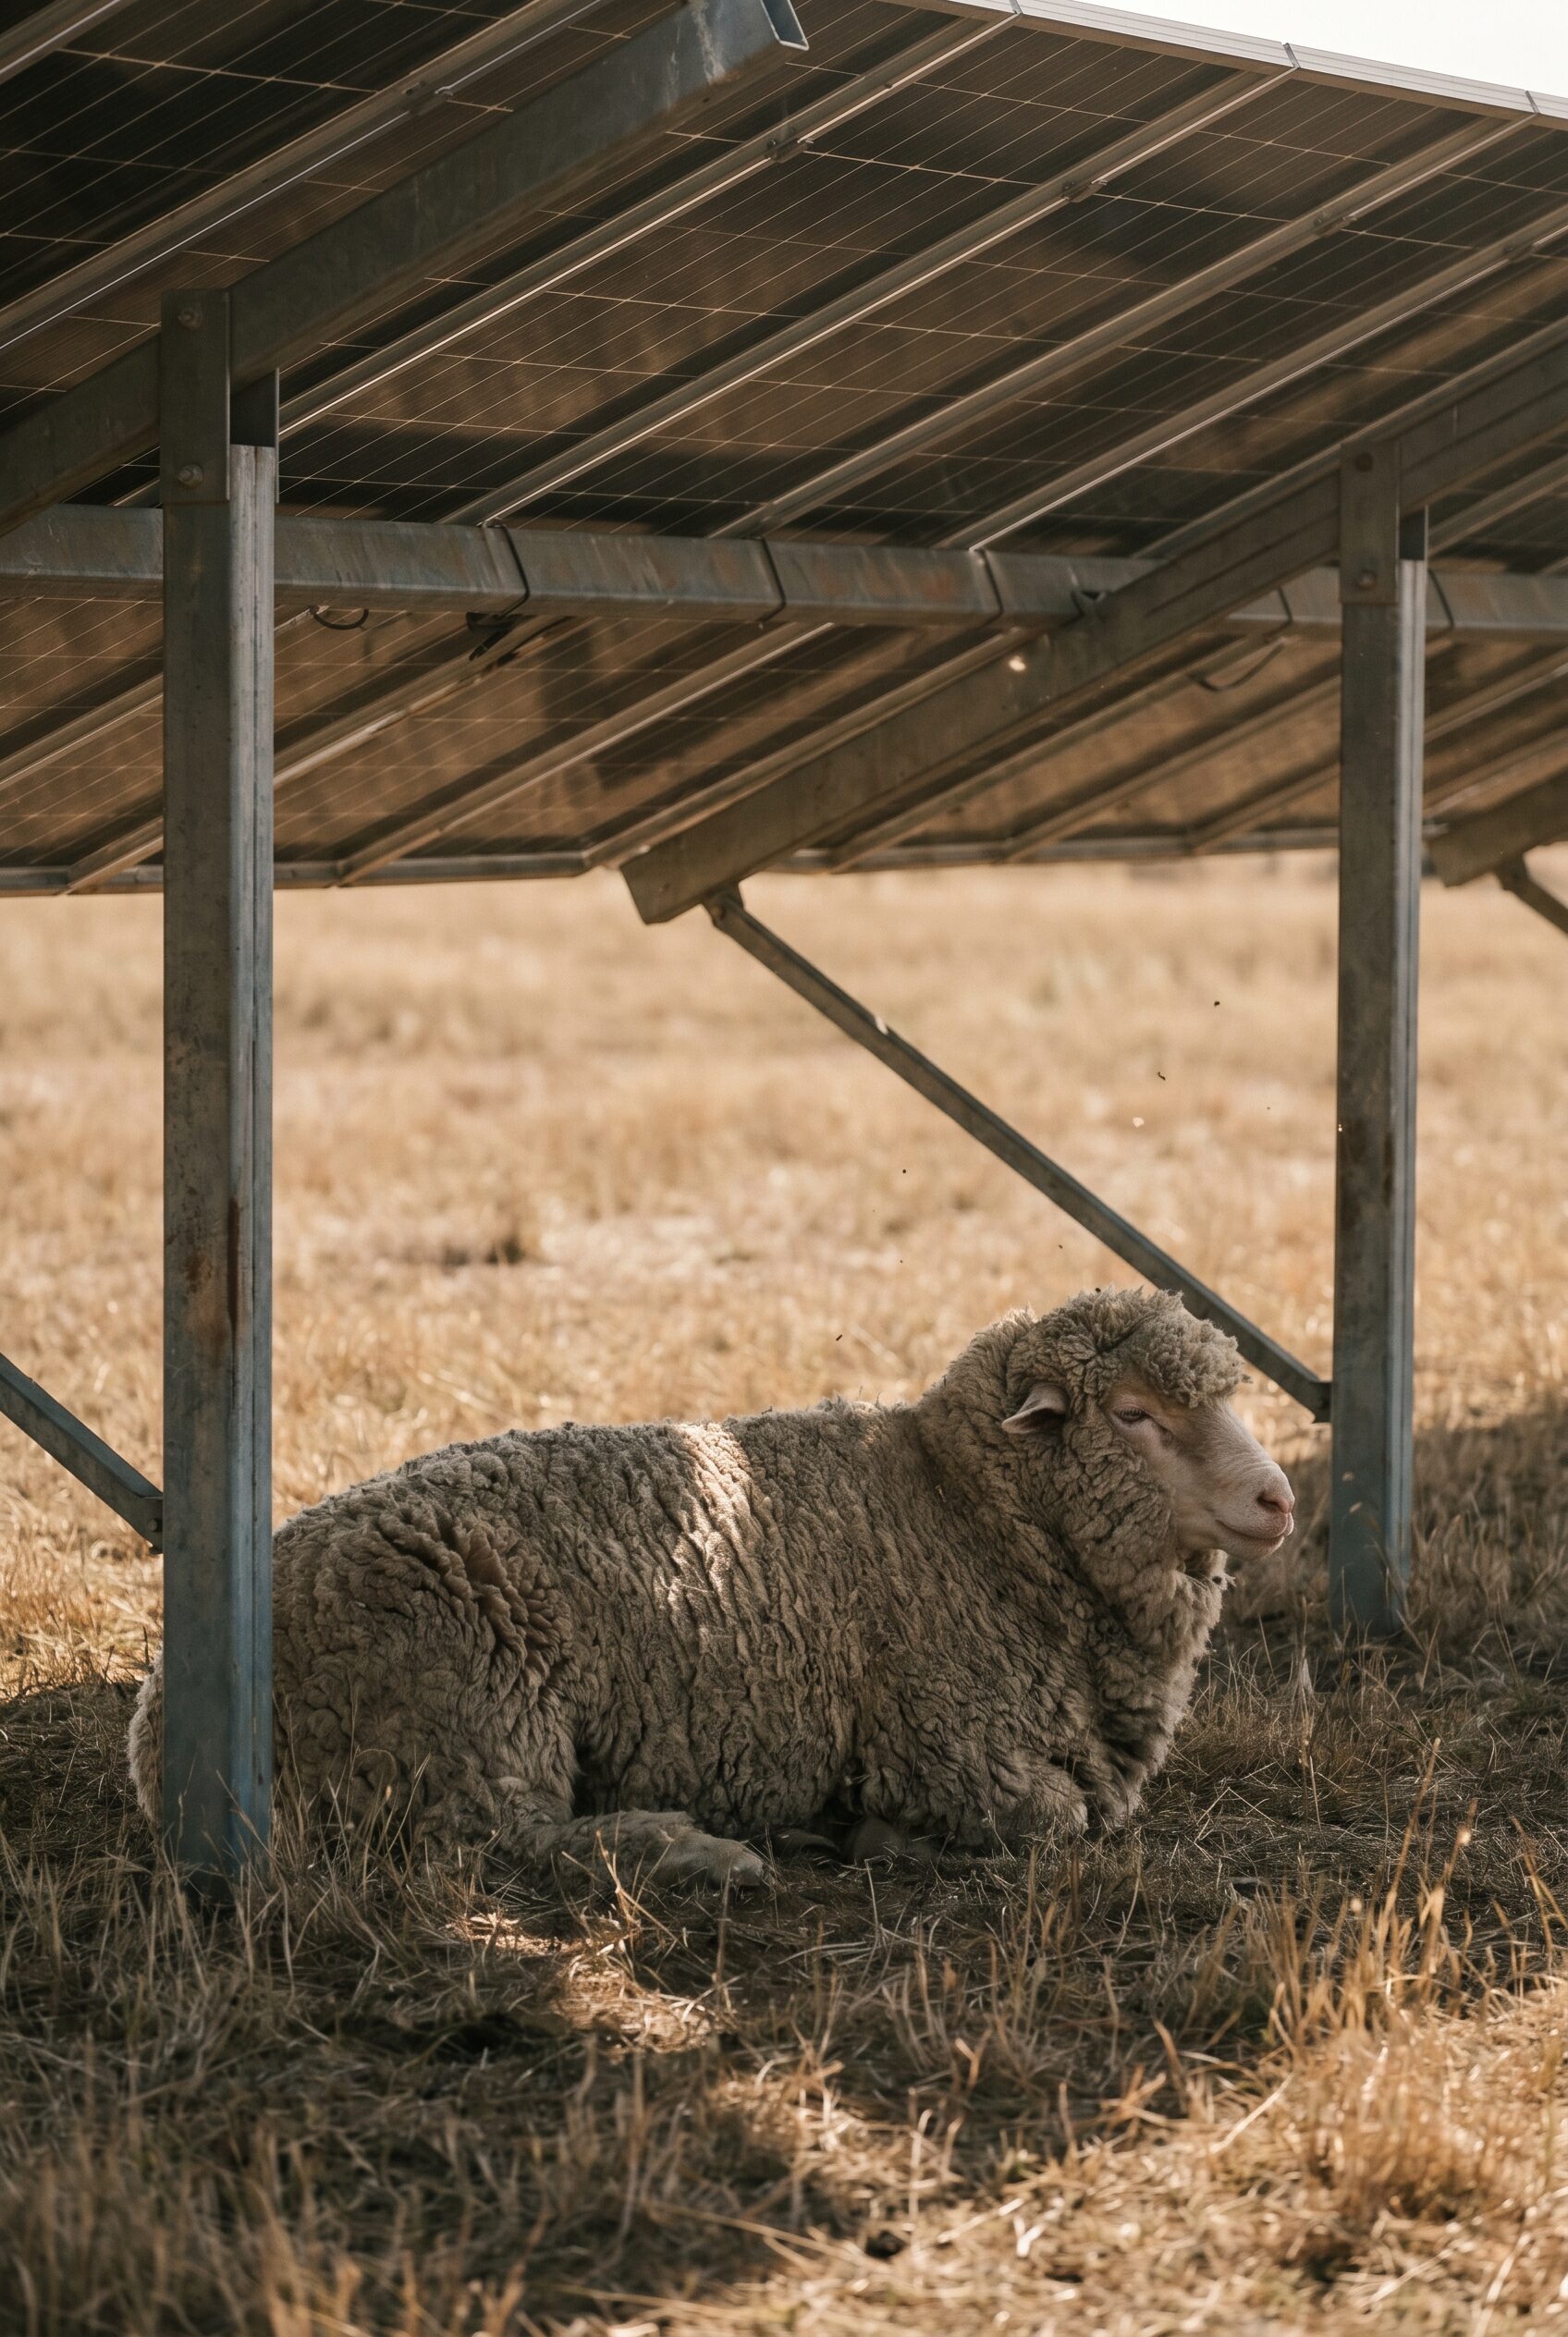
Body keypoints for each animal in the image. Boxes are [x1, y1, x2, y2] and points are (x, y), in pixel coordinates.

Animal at [128, 1286, 1294, 1885]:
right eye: (1133, 1414)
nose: (1278, 1498)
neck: (964, 1511)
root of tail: (157, 1722)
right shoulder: (953, 1748)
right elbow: (1054, 1818)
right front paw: (875, 1835)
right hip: (469, 1705)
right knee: (503, 1840)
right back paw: (701, 1849)